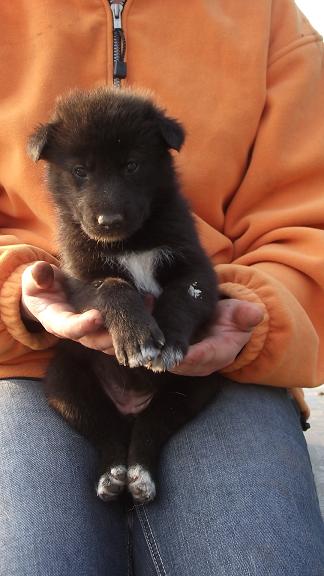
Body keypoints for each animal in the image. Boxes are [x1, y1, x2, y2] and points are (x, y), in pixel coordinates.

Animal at [27, 86, 221, 504]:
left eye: (132, 165)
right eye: (80, 171)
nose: (109, 221)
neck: (130, 242)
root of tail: (128, 407)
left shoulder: (197, 267)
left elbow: (182, 294)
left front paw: (167, 340)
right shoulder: (79, 278)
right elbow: (114, 286)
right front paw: (136, 335)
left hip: (194, 385)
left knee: (152, 427)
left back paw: (140, 474)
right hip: (65, 383)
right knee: (106, 431)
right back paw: (113, 474)